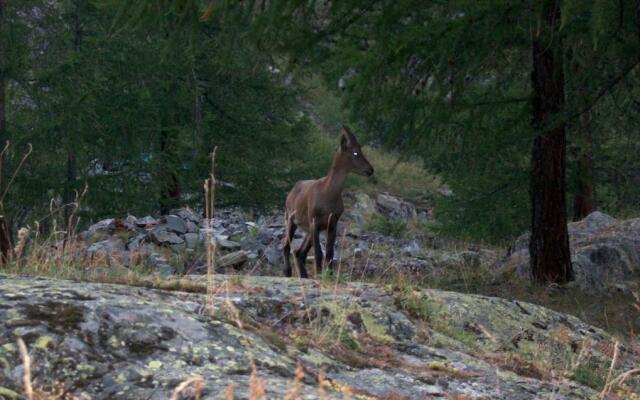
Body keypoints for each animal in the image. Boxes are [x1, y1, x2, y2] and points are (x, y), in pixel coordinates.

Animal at [282, 126, 372, 276]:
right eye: (355, 152)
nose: (370, 170)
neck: (328, 193)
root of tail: (292, 191)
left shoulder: (332, 224)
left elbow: (330, 253)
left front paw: (328, 275)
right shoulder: (315, 222)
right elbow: (319, 253)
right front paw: (319, 275)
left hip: (307, 230)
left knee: (299, 252)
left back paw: (304, 275)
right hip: (291, 219)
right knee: (287, 247)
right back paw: (288, 272)